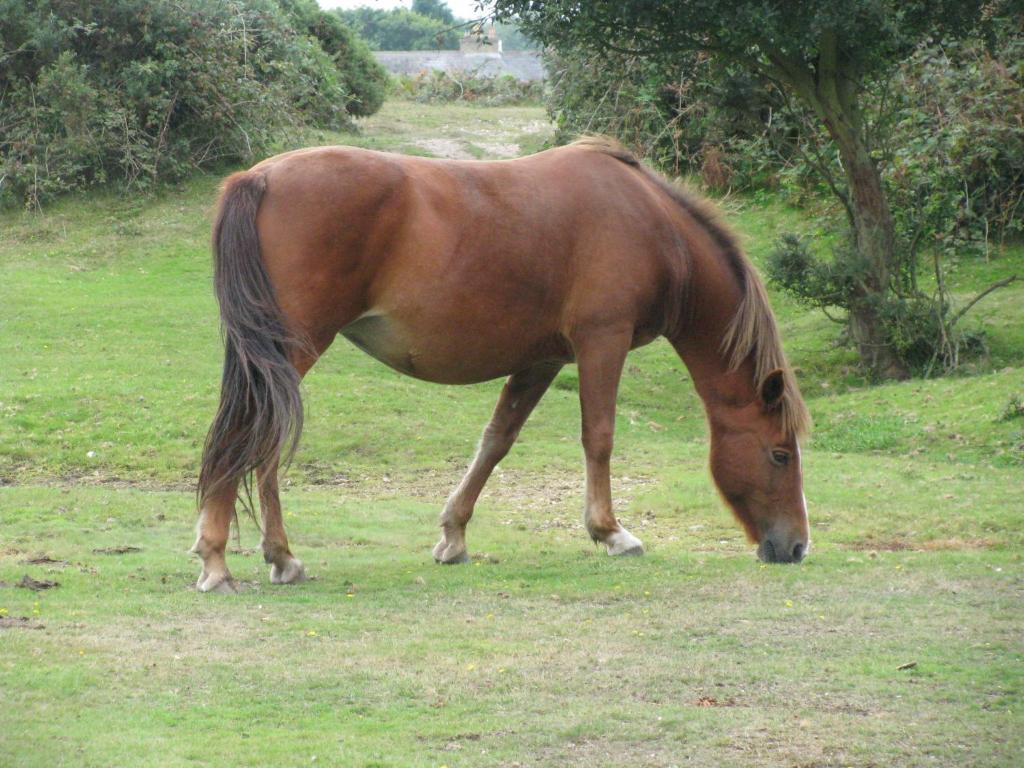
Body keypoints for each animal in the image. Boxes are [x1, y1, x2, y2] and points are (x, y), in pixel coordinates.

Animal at [193, 140, 806, 593]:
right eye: (779, 453)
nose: (797, 546)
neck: (654, 225)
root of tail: (259, 177)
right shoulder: (601, 342)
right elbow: (599, 437)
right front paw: (611, 533)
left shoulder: (542, 359)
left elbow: (497, 440)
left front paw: (453, 535)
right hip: (291, 351)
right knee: (255, 435)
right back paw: (220, 560)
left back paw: (278, 556)